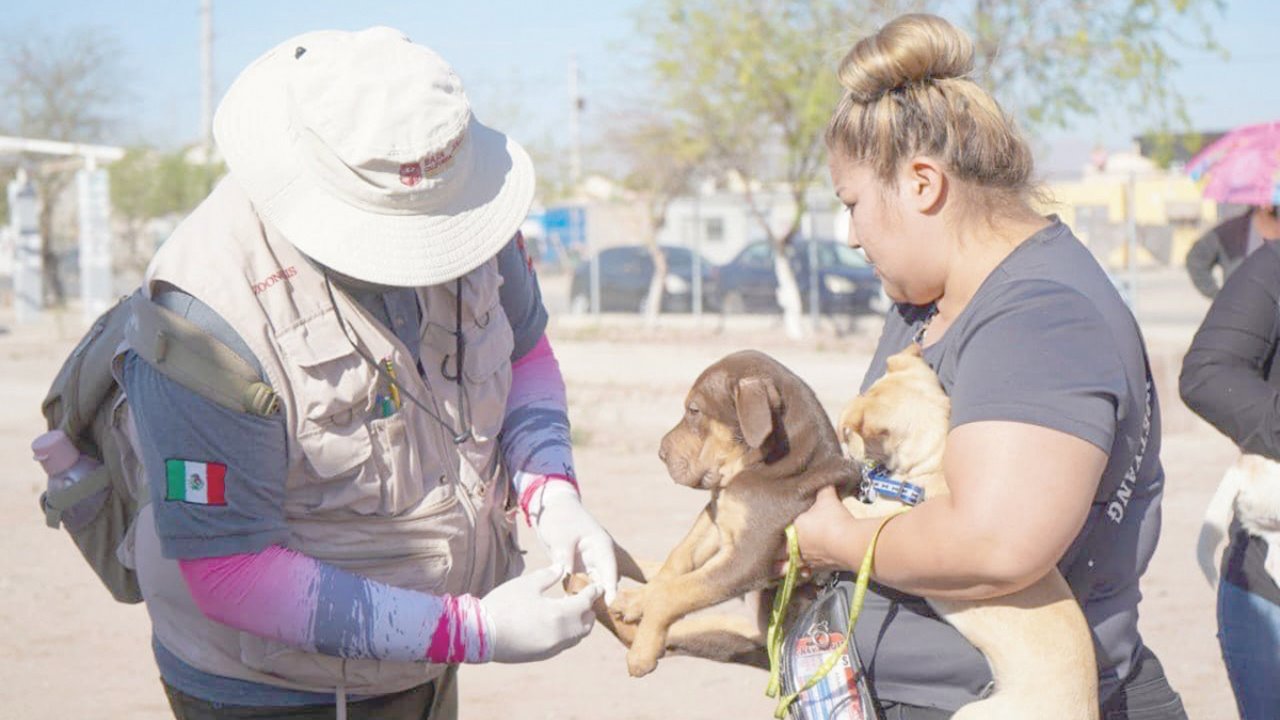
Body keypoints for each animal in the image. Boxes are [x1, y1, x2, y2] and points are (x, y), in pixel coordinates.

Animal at [609, 351, 860, 676]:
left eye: (694, 410)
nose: (661, 453)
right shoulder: (718, 515)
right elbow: (678, 560)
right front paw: (638, 599)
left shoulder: (747, 557)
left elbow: (678, 591)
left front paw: (642, 652)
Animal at [839, 343, 1100, 717]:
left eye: (848, 434)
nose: (844, 447)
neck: (935, 461)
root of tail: (1087, 709)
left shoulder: (882, 516)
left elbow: (849, 507)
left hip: (974, 712)